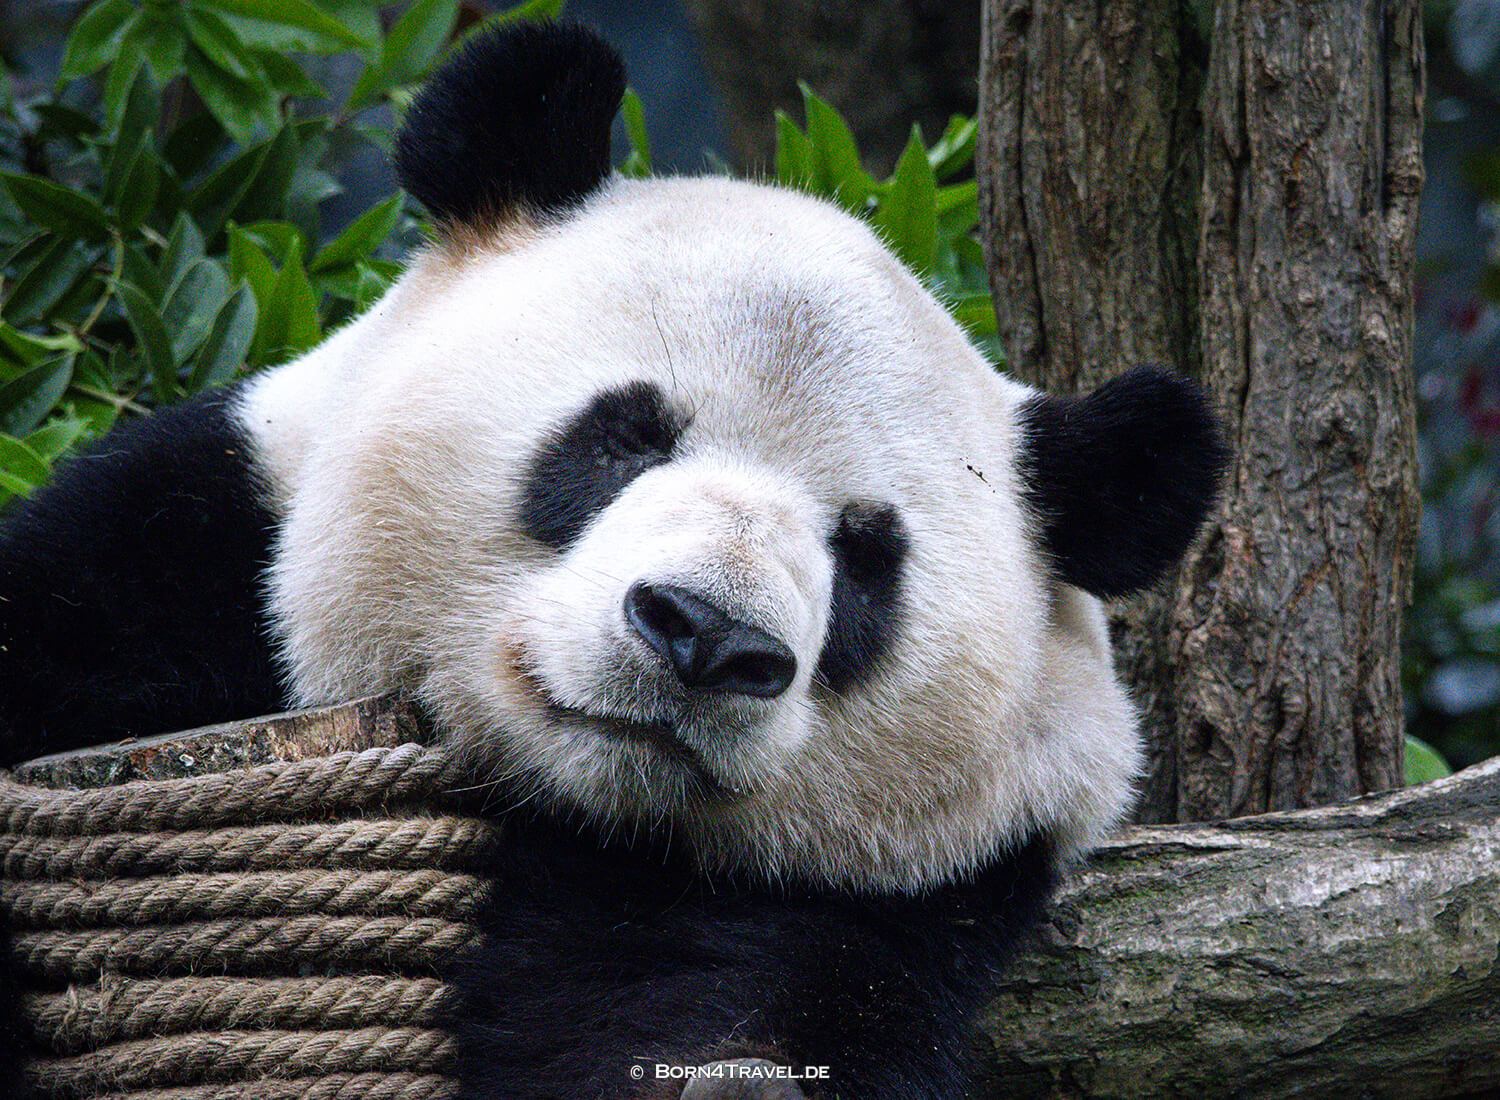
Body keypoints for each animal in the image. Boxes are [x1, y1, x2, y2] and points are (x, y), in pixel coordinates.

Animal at [0, 21, 1225, 1100]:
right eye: (624, 436)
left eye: (866, 556)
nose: (706, 635)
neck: (571, 795)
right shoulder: (170, 558)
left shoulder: (882, 886)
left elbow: (720, 1007)